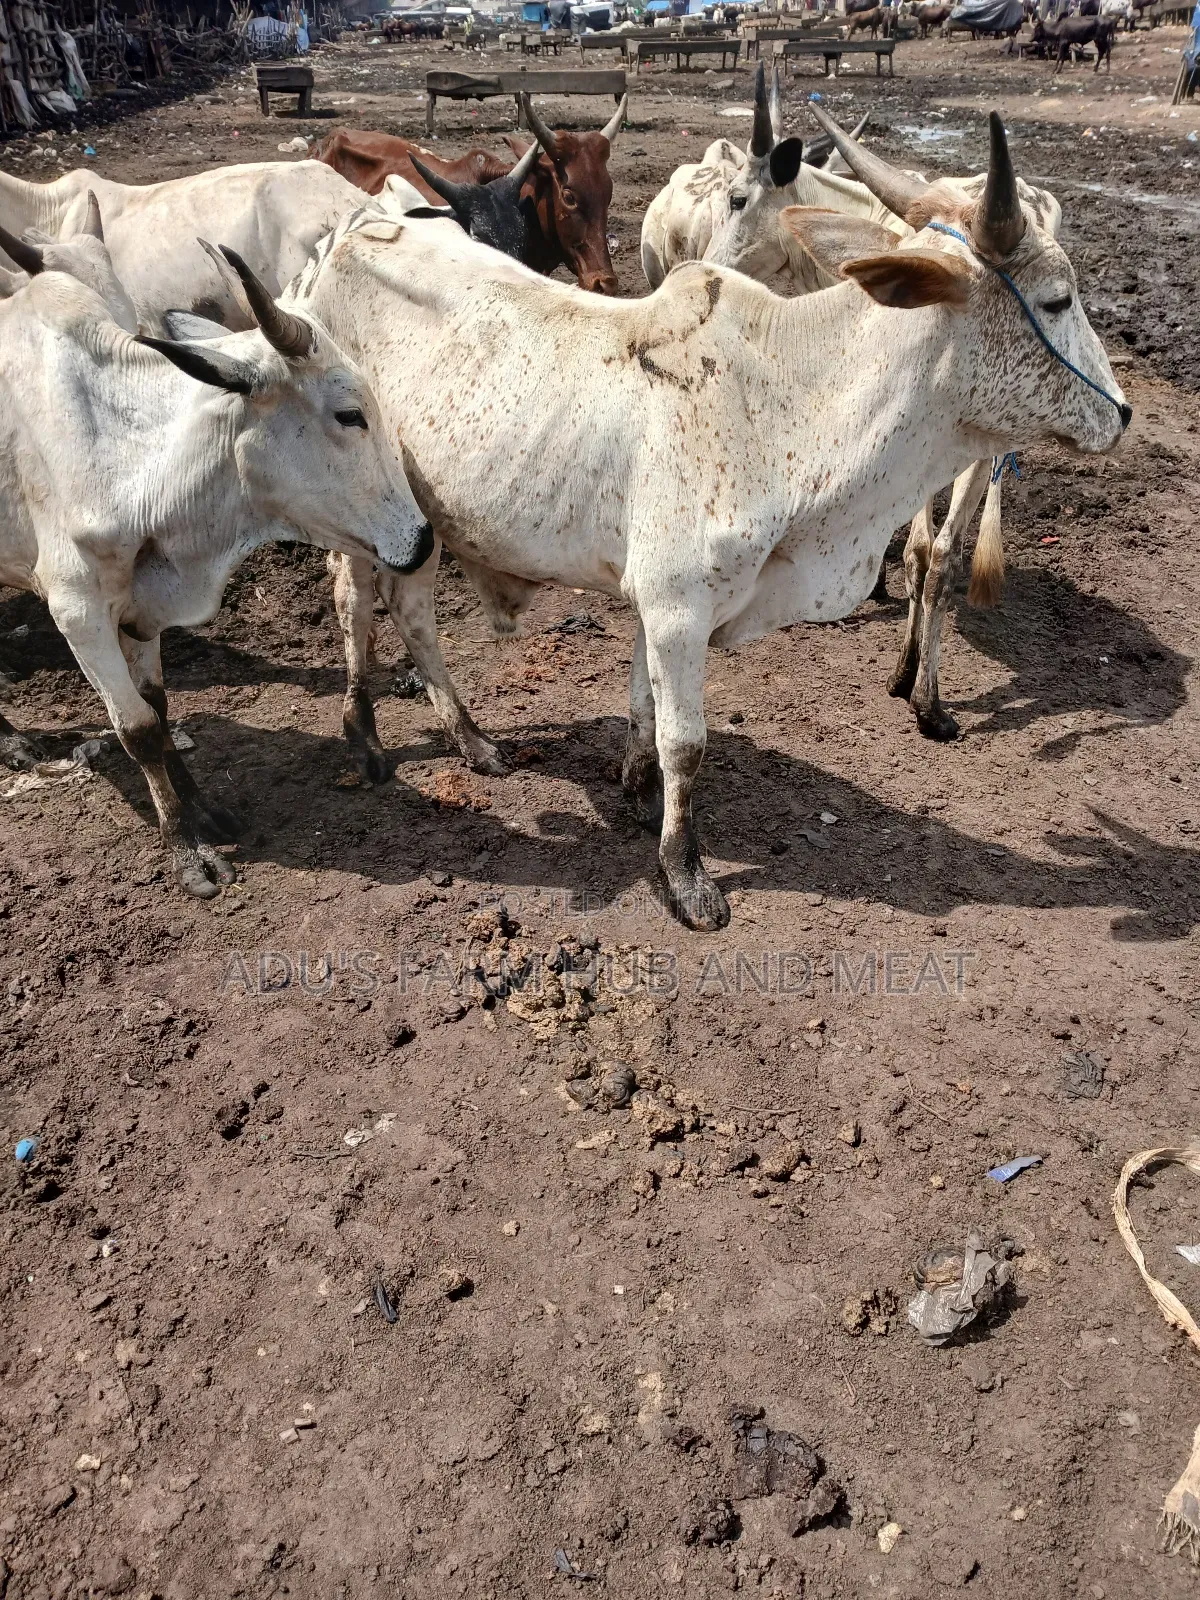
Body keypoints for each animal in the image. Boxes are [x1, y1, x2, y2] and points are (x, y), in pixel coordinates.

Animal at [0, 234, 433, 898]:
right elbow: (138, 730)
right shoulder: (78, 612)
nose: (422, 539)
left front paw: (202, 810)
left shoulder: (140, 610)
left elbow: (158, 709)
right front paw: (186, 848)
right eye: (349, 414)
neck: (126, 457)